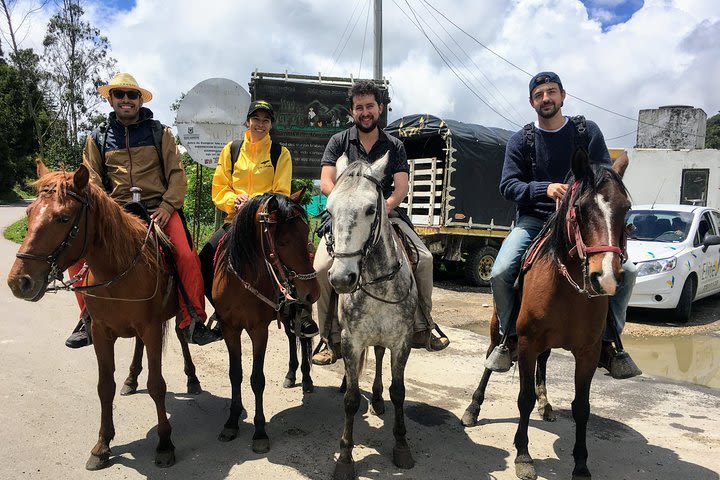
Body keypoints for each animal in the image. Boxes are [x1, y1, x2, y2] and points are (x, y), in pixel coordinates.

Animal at [7, 163, 202, 470]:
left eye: (63, 218)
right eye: (29, 213)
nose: (19, 282)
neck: (118, 269)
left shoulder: (151, 328)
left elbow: (157, 385)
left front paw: (164, 444)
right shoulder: (101, 332)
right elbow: (104, 386)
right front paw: (102, 445)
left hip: (176, 313)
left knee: (182, 336)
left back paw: (192, 378)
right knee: (138, 348)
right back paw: (131, 379)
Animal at [211, 190, 318, 454]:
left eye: (305, 232)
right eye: (282, 242)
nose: (312, 292)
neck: (240, 282)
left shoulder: (258, 330)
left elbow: (257, 379)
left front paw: (260, 433)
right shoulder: (230, 329)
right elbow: (235, 374)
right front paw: (231, 422)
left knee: (302, 338)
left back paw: (306, 379)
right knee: (291, 337)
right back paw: (291, 375)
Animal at [324, 153, 416, 476]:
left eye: (370, 209)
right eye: (330, 209)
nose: (342, 279)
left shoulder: (402, 341)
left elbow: (398, 391)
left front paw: (401, 445)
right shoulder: (352, 341)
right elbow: (351, 399)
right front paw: (345, 458)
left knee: (377, 356)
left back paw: (377, 398)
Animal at [462, 151, 632, 480]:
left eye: (626, 208)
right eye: (580, 208)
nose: (605, 277)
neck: (568, 287)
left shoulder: (588, 351)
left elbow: (582, 407)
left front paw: (581, 465)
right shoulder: (528, 343)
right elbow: (523, 398)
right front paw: (523, 455)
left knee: (544, 364)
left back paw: (546, 402)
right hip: (497, 330)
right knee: (490, 360)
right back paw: (473, 408)